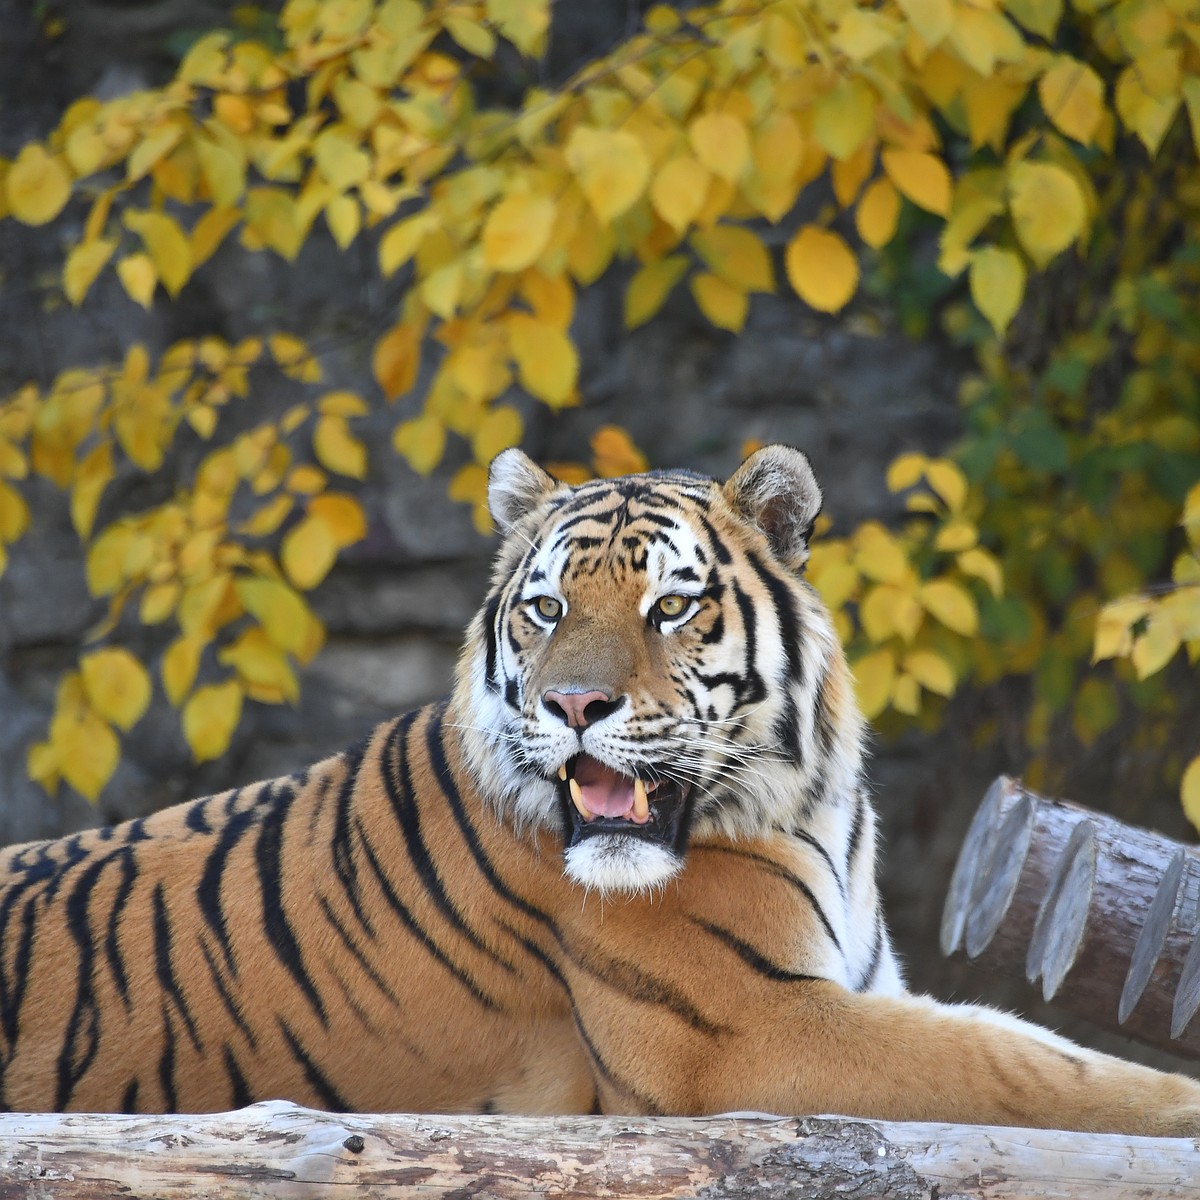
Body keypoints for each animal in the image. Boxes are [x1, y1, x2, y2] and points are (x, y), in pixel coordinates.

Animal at [2, 446, 1200, 1128]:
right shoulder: (751, 1033)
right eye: (545, 609)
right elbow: (1033, 1069)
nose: (575, 706)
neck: (809, 809)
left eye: (670, 606)